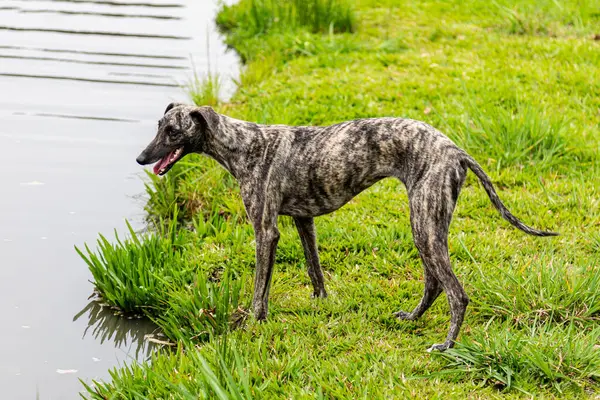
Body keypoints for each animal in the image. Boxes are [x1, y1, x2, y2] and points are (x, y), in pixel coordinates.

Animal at [136, 102, 556, 350]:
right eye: (158, 125)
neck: (245, 145)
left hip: (424, 224)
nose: (141, 158)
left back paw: (447, 345)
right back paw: (413, 319)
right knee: (435, 283)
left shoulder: (265, 230)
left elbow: (259, 288)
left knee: (457, 293)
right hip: (429, 225)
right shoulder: (303, 220)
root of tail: (457, 150)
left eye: (173, 131)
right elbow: (315, 270)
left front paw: (253, 324)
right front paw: (321, 304)